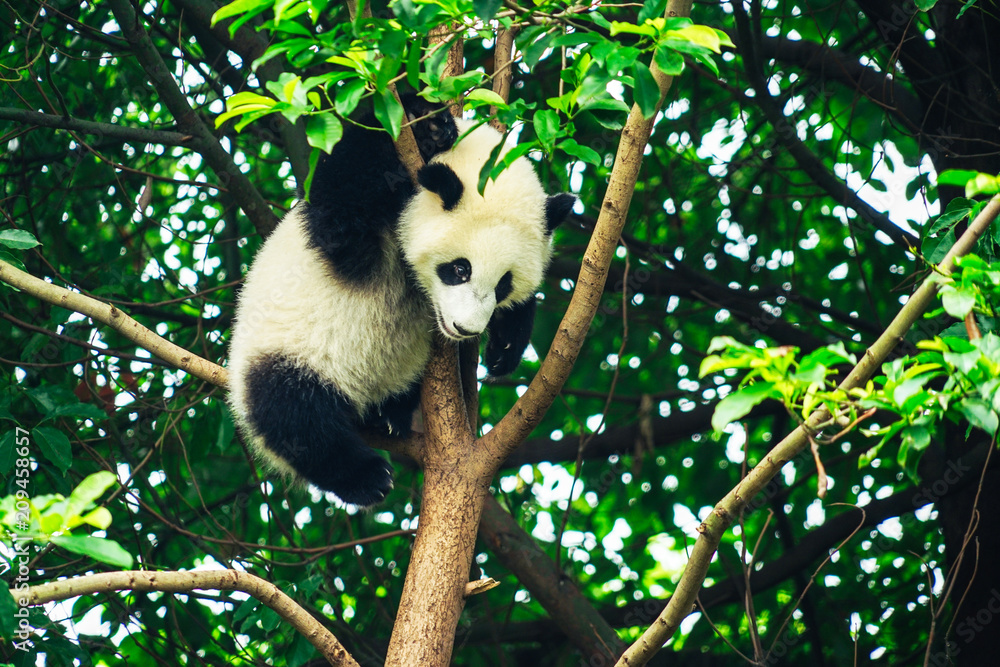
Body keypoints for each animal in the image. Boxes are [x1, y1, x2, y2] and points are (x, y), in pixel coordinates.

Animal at [227, 96, 576, 507]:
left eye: (503, 284)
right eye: (459, 269)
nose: (465, 329)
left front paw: (504, 347)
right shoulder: (351, 226)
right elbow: (339, 193)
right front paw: (426, 121)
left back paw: (389, 417)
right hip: (282, 352)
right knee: (294, 415)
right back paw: (366, 477)